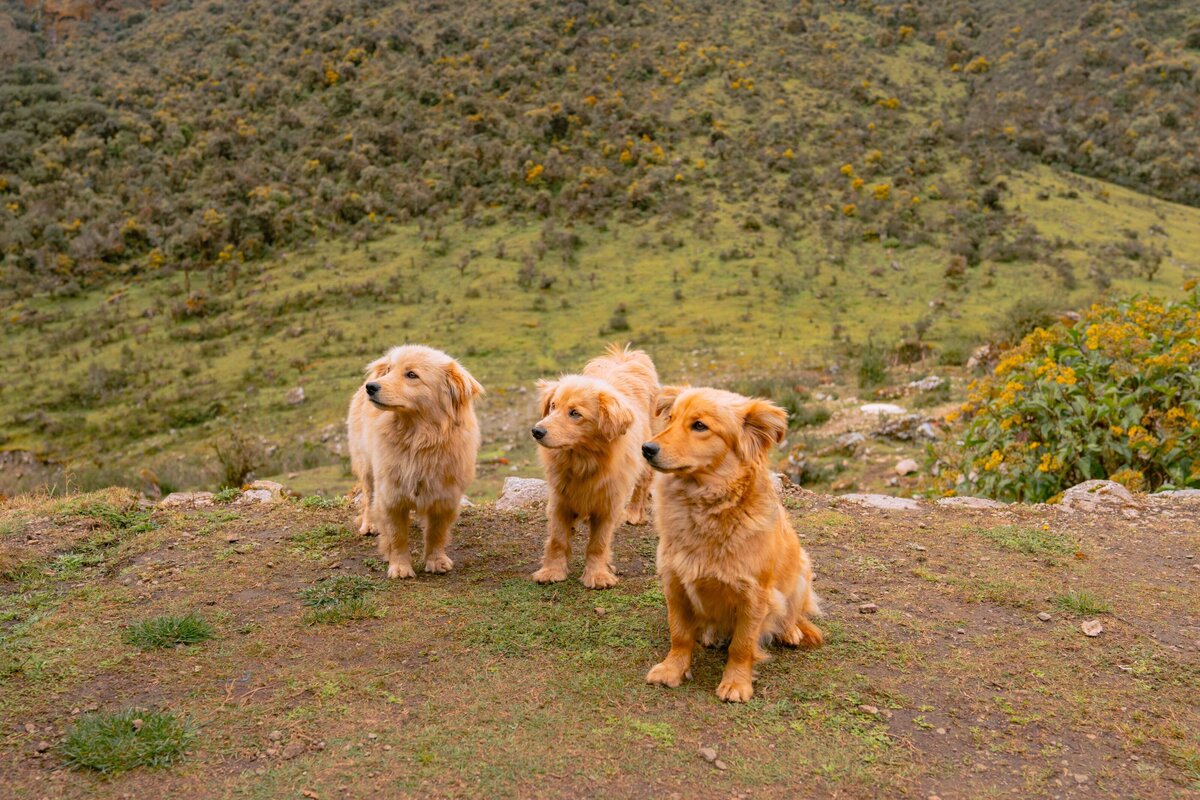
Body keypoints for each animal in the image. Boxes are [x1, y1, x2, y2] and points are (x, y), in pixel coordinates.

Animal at [345, 343, 480, 575]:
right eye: (390, 370)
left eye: (411, 375)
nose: (371, 387)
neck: (418, 440)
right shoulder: (391, 494)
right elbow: (396, 536)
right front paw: (400, 567)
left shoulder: (445, 496)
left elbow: (436, 533)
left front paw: (436, 560)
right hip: (367, 466)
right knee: (368, 497)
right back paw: (369, 524)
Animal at [532, 345, 662, 587]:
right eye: (553, 406)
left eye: (575, 413)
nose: (537, 431)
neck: (583, 460)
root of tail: (625, 356)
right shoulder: (559, 498)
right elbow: (557, 539)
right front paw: (552, 571)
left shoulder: (609, 503)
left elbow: (598, 544)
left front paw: (597, 574)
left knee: (642, 484)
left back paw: (634, 513)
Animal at [643, 386, 820, 700]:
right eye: (671, 419)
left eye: (699, 426)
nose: (646, 448)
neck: (705, 508)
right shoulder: (674, 583)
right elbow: (680, 634)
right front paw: (672, 669)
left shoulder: (755, 596)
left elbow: (742, 644)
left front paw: (737, 683)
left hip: (801, 572)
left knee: (793, 613)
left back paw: (789, 630)